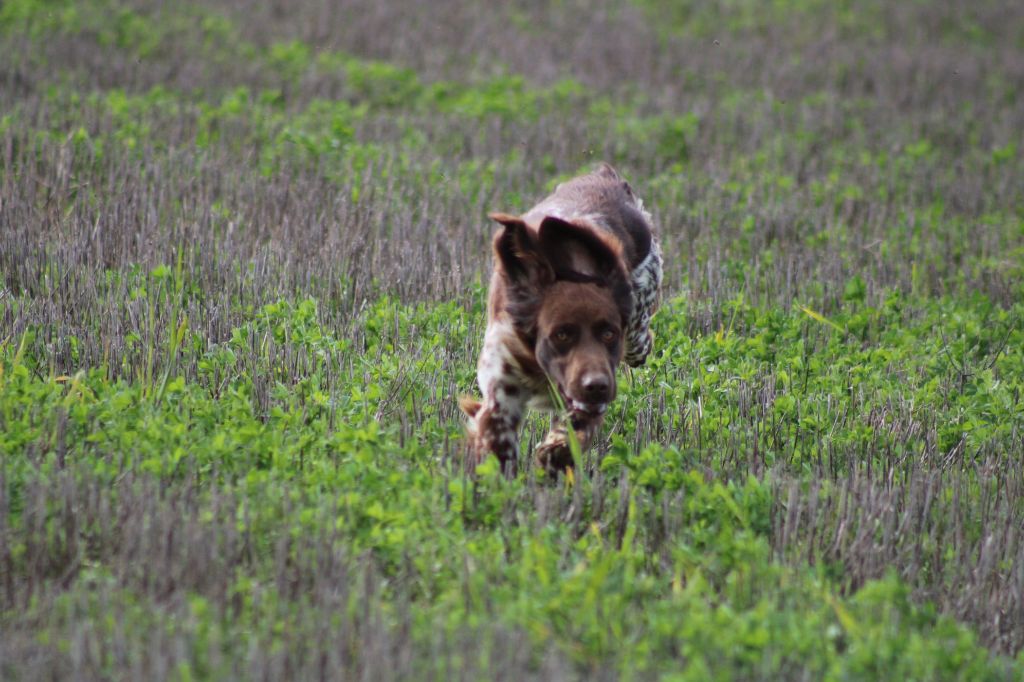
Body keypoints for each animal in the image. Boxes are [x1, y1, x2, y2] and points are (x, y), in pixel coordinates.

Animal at [458, 163, 663, 473]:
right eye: (561, 334)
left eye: (609, 333)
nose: (596, 386)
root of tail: (605, 176)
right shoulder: (501, 391)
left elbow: (567, 438)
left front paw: (552, 454)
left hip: (638, 330)